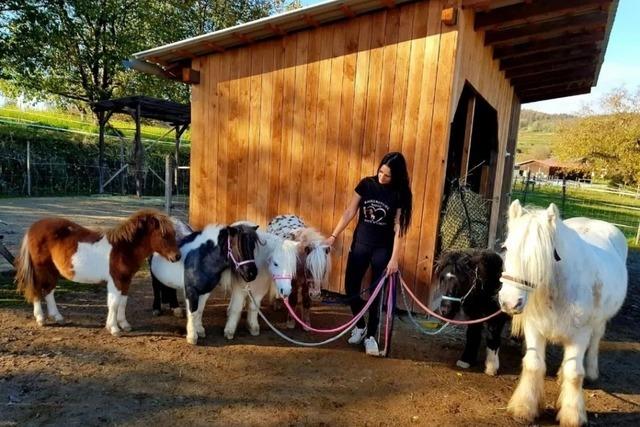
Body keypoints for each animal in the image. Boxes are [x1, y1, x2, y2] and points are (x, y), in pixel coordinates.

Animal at [15, 211, 180, 338]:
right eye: (164, 235)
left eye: (174, 234)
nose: (177, 257)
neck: (123, 248)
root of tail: (33, 228)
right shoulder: (116, 280)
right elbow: (113, 303)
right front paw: (114, 329)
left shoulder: (126, 280)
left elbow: (122, 302)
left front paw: (124, 325)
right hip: (40, 269)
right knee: (37, 290)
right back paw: (41, 319)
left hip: (53, 270)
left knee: (49, 291)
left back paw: (57, 317)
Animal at [498, 201, 628, 427]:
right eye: (506, 248)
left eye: (543, 255)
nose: (509, 302)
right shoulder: (534, 330)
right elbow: (533, 365)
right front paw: (524, 408)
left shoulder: (579, 336)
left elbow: (574, 373)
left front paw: (572, 415)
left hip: (598, 322)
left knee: (595, 341)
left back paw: (591, 371)